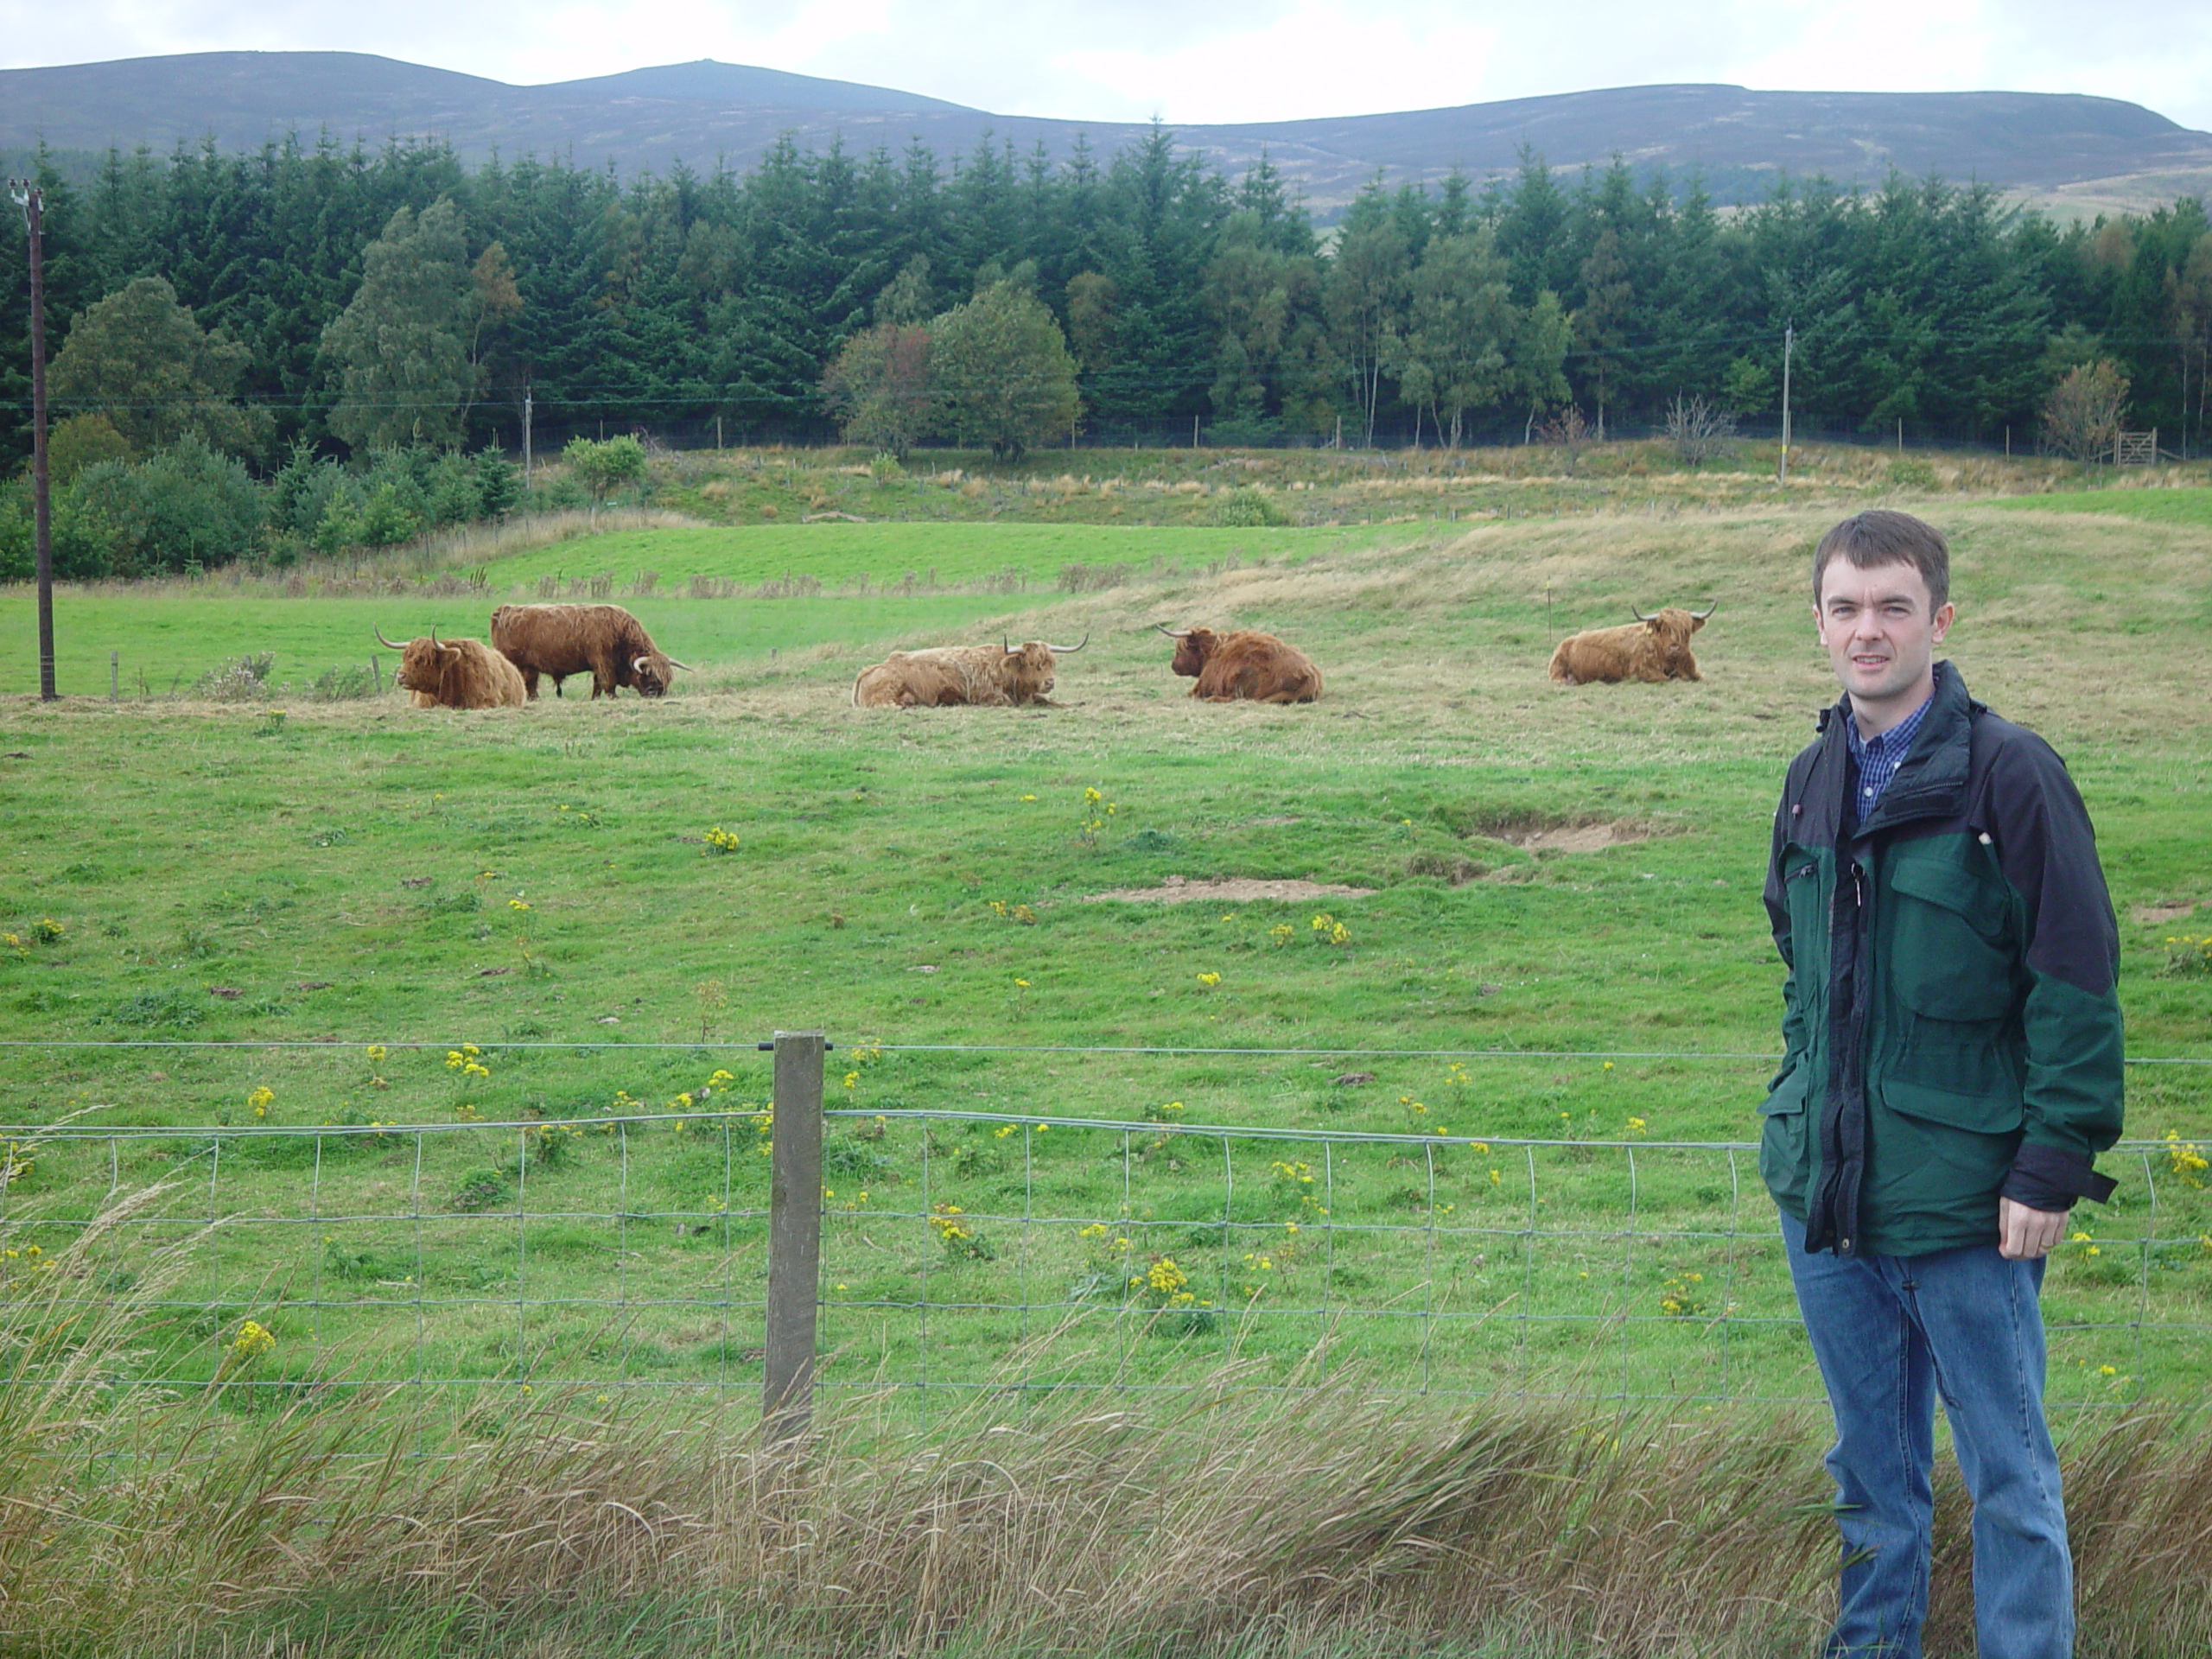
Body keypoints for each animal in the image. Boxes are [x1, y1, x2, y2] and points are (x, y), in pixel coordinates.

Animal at [488, 606, 685, 703]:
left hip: (530, 667)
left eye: (667, 678)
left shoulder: (598, 665)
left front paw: (595, 699)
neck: (620, 631)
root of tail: (504, 609)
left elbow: (597, 684)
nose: (657, 693)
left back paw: (535, 700)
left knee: (530, 683)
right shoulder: (603, 662)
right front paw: (614, 698)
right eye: (648, 674)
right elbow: (608, 682)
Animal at [844, 637, 1088, 708]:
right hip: (887, 691)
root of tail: (873, 668)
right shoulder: (989, 697)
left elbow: (1047, 700)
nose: (1049, 682)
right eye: (1033, 663)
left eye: (1050, 663)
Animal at [1548, 606, 1716, 685]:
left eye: (1686, 630)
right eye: (1662, 629)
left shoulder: (1694, 672)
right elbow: (1669, 679)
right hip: (1558, 669)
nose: (1674, 648)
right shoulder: (1645, 672)